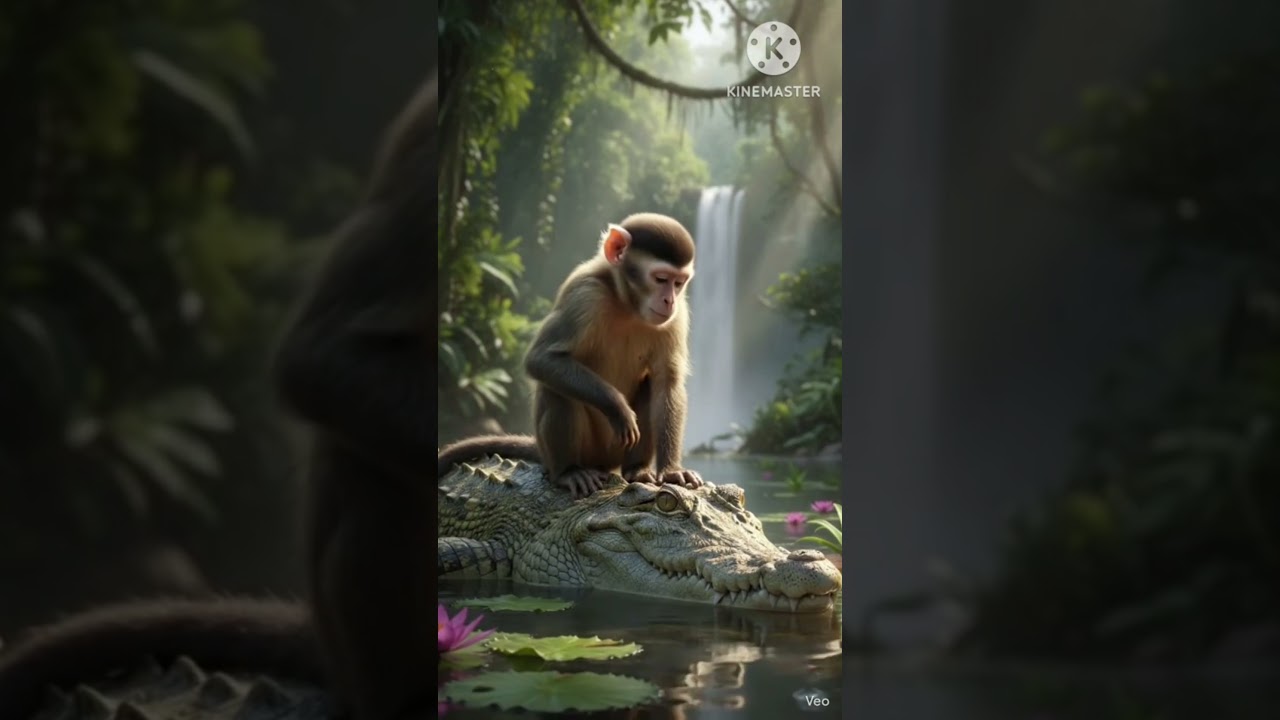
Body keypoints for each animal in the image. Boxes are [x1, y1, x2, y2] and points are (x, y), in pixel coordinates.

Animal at [437, 213, 703, 499]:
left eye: (678, 283)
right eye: (661, 279)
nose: (669, 301)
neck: (626, 304)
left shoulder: (677, 317)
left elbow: (667, 382)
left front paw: (672, 470)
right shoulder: (584, 296)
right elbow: (542, 359)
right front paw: (618, 407)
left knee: (648, 385)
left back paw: (637, 469)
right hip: (586, 449)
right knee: (557, 388)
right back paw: (569, 471)